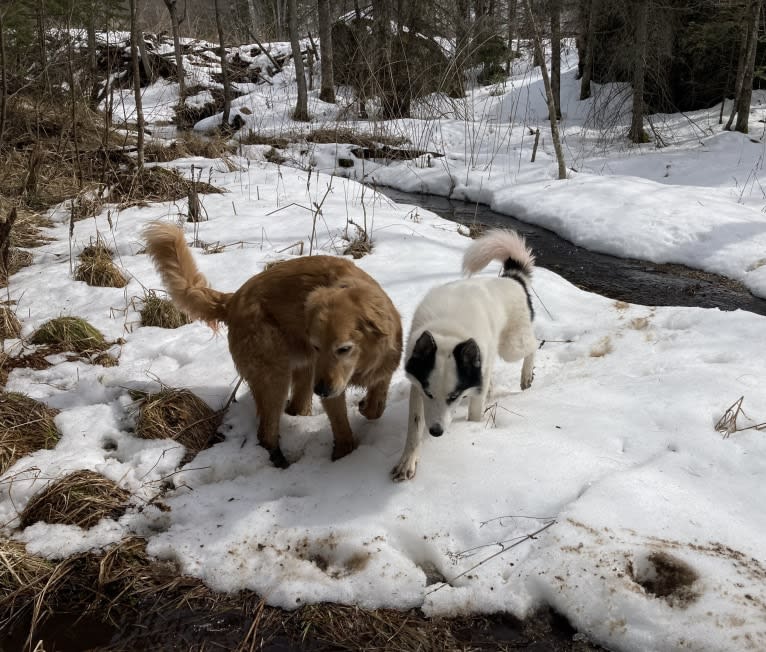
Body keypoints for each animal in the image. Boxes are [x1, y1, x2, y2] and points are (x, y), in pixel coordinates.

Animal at [392, 228, 536, 478]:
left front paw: (473, 426)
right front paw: (408, 461)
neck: (449, 331)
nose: (436, 432)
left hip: (512, 345)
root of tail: (513, 278)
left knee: (534, 345)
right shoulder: (417, 384)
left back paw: (526, 376)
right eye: (429, 394)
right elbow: (415, 424)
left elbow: (475, 411)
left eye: (454, 396)